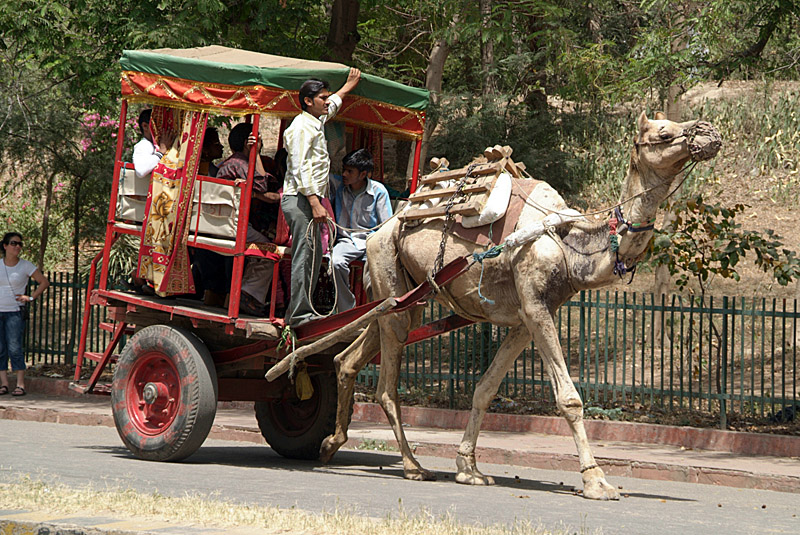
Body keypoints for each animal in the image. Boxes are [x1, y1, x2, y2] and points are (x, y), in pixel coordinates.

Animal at [310, 111, 720, 500]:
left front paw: (469, 468)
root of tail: (378, 230)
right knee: (385, 386)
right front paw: (596, 481)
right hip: (389, 275)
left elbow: (485, 388)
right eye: (664, 133)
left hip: (404, 299)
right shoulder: (537, 306)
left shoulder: (527, 318)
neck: (569, 243)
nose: (710, 132)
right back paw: (413, 465)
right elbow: (569, 398)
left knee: (348, 356)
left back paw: (331, 444)